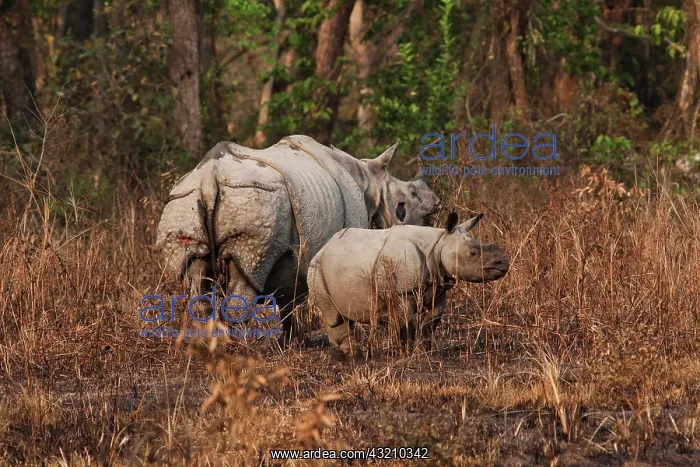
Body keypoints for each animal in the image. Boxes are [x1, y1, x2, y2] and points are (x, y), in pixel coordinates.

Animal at [156, 135, 441, 338]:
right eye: (411, 196)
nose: (438, 202)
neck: (370, 184)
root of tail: (209, 178)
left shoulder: (291, 252)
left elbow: (286, 297)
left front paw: (292, 340)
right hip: (254, 201)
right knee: (246, 273)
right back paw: (237, 351)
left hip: (182, 203)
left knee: (195, 271)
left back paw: (210, 347)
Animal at [307, 212, 509, 357]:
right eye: (473, 253)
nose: (504, 262)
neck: (439, 244)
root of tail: (323, 247)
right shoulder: (402, 292)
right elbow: (406, 322)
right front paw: (408, 353)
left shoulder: (438, 286)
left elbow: (431, 322)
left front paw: (426, 350)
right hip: (316, 269)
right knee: (334, 317)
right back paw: (352, 355)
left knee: (344, 316)